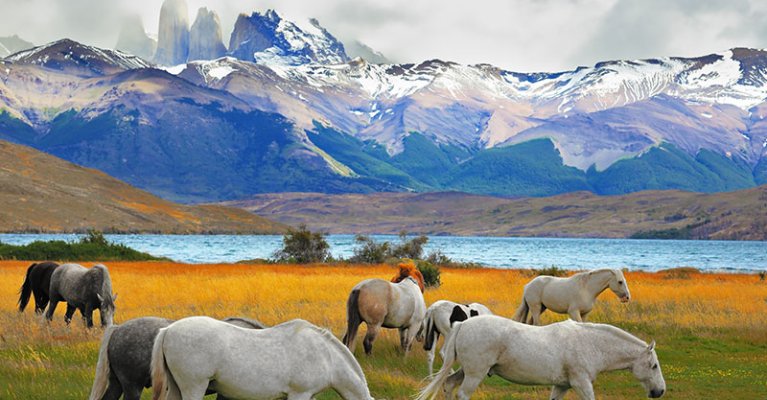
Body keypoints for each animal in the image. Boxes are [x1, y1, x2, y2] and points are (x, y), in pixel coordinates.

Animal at [416, 316, 664, 400]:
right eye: (653, 366)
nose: (659, 391)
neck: (589, 343)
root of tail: (462, 324)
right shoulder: (581, 383)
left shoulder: (562, 386)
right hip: (475, 374)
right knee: (462, 393)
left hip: (467, 371)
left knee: (449, 385)